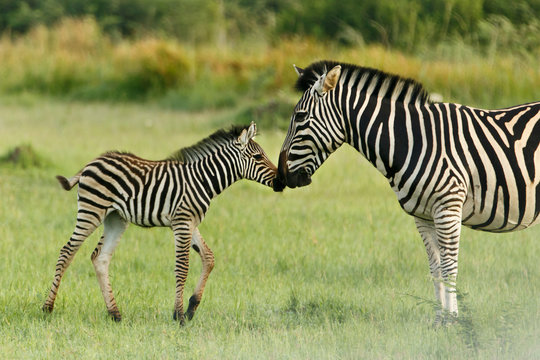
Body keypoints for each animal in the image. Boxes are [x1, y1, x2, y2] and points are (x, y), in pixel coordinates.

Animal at [43, 122, 278, 322]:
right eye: (258, 157)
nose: (280, 181)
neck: (203, 180)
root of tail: (91, 163)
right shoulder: (182, 222)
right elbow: (182, 267)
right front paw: (179, 315)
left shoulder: (189, 222)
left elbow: (208, 258)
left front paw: (191, 308)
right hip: (91, 210)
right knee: (67, 252)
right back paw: (47, 308)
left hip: (116, 218)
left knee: (100, 258)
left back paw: (115, 314)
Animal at [274, 60, 540, 324]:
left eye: (300, 117)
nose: (281, 177)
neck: (413, 140)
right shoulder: (423, 216)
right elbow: (435, 267)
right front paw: (440, 320)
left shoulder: (448, 207)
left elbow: (449, 267)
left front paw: (453, 320)